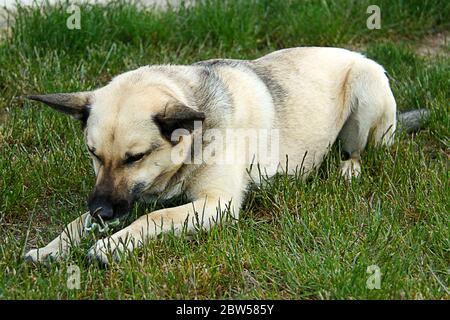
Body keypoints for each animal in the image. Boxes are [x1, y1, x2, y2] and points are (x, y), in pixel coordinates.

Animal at [22, 45, 428, 264]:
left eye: (134, 157)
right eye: (93, 154)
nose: (102, 211)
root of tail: (354, 53)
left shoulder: (215, 204)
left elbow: (153, 217)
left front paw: (109, 245)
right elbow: (76, 223)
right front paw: (51, 248)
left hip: (367, 85)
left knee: (355, 152)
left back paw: (348, 170)